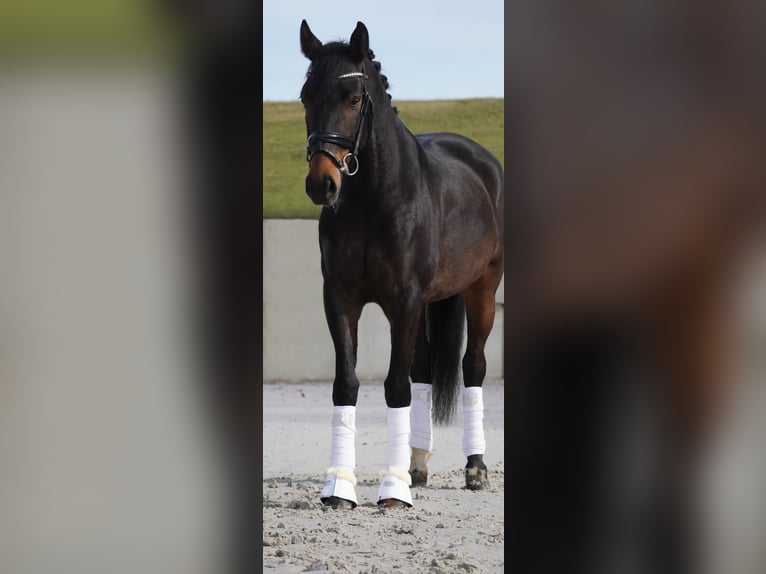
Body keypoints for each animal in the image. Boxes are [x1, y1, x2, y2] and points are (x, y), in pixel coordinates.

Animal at [298, 20, 504, 510]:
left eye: (354, 99)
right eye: (305, 97)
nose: (321, 184)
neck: (374, 202)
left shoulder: (404, 301)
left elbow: (395, 387)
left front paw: (392, 490)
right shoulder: (340, 299)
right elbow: (347, 383)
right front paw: (340, 487)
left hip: (482, 288)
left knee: (473, 366)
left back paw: (475, 468)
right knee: (426, 370)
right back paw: (418, 465)